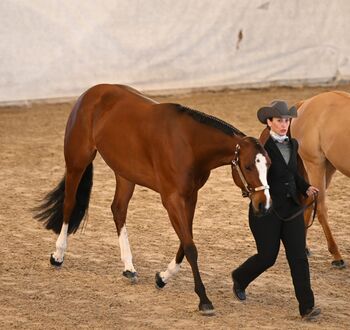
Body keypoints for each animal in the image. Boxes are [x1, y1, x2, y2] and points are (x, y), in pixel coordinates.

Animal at [33, 83, 270, 314]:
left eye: (268, 164)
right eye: (248, 166)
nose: (263, 204)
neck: (189, 144)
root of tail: (90, 93)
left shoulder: (190, 197)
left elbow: (186, 241)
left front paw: (163, 277)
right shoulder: (172, 200)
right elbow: (190, 246)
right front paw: (204, 299)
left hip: (125, 174)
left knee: (118, 209)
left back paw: (129, 267)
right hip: (77, 161)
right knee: (69, 203)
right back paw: (58, 255)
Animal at [290, 90, 350, 268]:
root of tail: (306, 102)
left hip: (328, 167)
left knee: (309, 201)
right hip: (315, 164)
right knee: (321, 207)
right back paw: (336, 256)